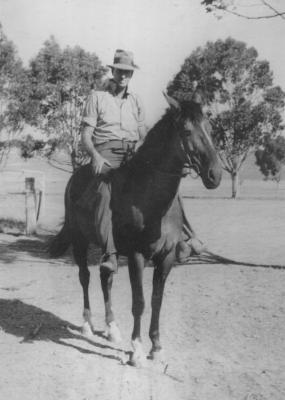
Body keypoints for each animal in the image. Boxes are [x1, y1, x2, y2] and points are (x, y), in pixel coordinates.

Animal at [49, 92, 222, 368]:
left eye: (210, 128)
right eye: (186, 131)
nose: (215, 174)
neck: (150, 200)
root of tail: (75, 178)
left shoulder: (166, 257)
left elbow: (156, 301)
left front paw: (157, 348)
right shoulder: (137, 256)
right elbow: (139, 302)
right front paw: (137, 351)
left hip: (108, 250)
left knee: (105, 277)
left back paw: (112, 328)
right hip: (80, 241)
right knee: (85, 277)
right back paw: (87, 325)